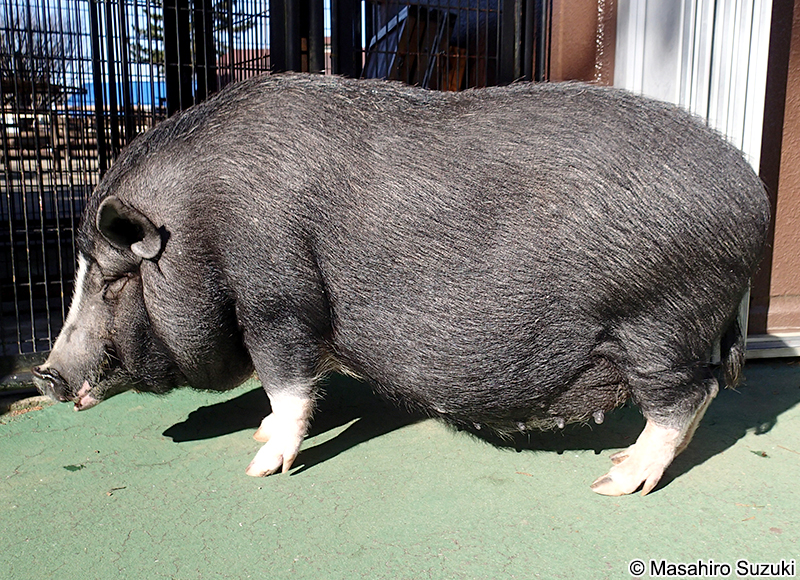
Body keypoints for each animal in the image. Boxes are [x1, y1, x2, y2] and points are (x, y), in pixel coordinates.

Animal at [32, 73, 770, 496]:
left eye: (111, 279)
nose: (43, 374)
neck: (200, 227)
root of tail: (756, 199)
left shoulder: (277, 300)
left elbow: (289, 382)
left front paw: (260, 466)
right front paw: (255, 439)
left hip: (661, 319)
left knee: (686, 397)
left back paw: (614, 481)